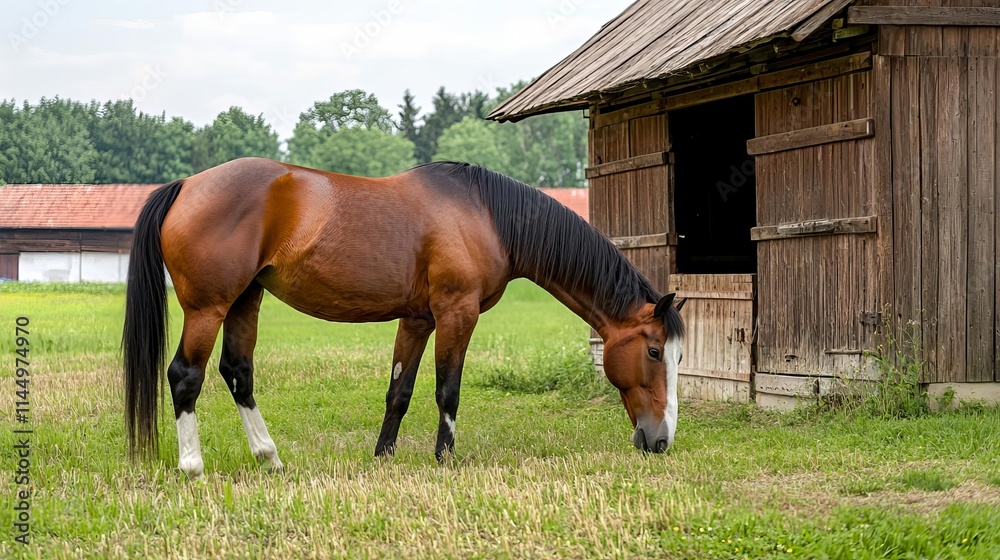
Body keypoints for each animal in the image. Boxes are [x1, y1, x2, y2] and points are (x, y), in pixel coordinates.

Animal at [122, 157, 685, 478]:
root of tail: (186, 185)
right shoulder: (456, 312)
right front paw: (444, 459)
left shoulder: (418, 319)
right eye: (655, 351)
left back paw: (270, 459)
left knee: (238, 373)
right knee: (185, 375)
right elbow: (447, 390)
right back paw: (192, 466)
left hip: (246, 300)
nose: (661, 440)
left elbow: (400, 390)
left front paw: (383, 456)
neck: (486, 213)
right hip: (209, 308)